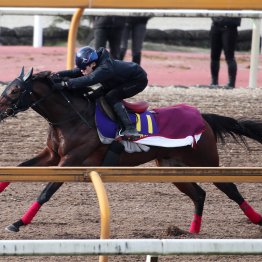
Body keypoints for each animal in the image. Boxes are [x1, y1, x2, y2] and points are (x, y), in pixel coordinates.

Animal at [0, 67, 262, 233]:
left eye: (14, 90)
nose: (0, 110)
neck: (73, 117)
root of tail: (203, 118)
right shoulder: (51, 156)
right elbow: (17, 169)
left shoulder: (70, 162)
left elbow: (45, 192)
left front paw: (18, 222)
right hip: (172, 167)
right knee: (199, 194)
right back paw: (191, 231)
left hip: (206, 161)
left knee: (229, 188)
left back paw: (256, 219)